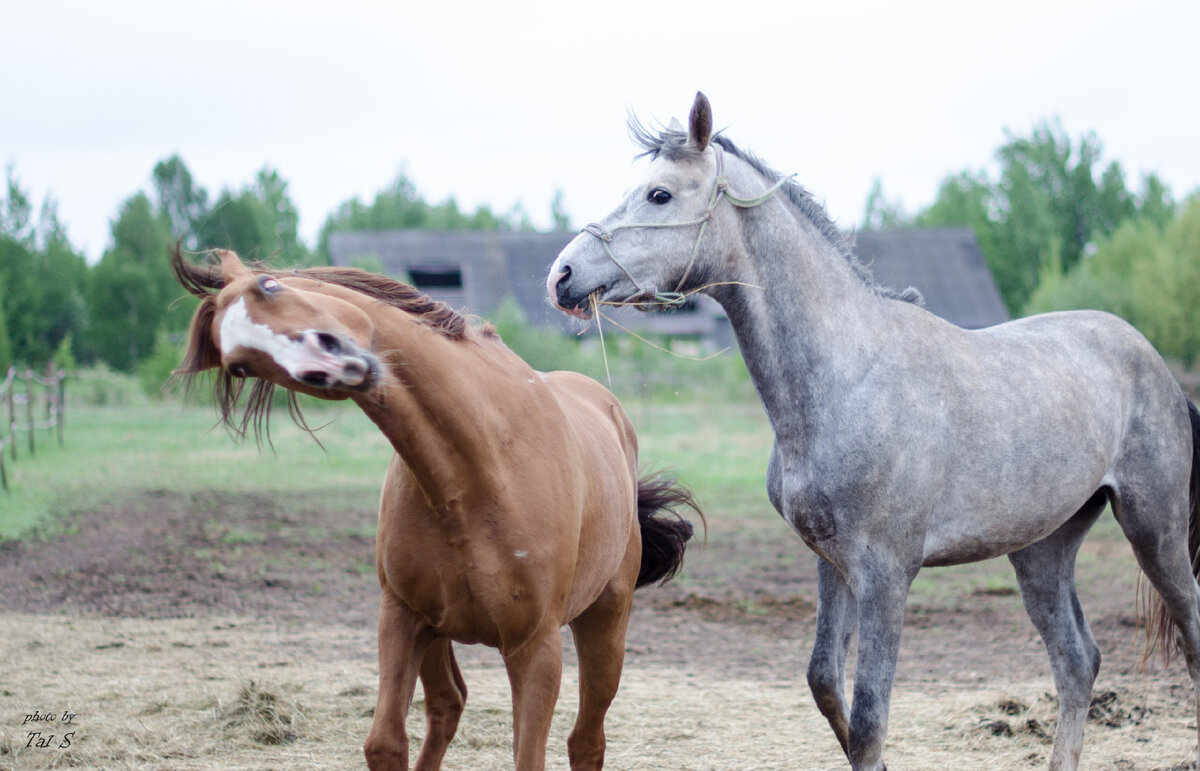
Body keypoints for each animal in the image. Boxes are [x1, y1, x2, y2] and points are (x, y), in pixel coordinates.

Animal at [168, 249, 696, 763]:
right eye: (240, 365)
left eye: (270, 286)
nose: (326, 362)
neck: (479, 466)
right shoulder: (402, 617)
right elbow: (385, 743)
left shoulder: (535, 648)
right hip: (439, 633)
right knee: (449, 705)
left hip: (605, 622)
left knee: (586, 741)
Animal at [544, 91, 1200, 768]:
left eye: (660, 195)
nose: (562, 275)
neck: (849, 374)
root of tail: (1153, 362)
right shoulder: (832, 563)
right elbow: (826, 684)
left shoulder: (887, 574)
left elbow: (868, 717)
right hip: (1042, 549)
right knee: (1077, 662)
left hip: (1155, 529)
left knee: (1186, 637)